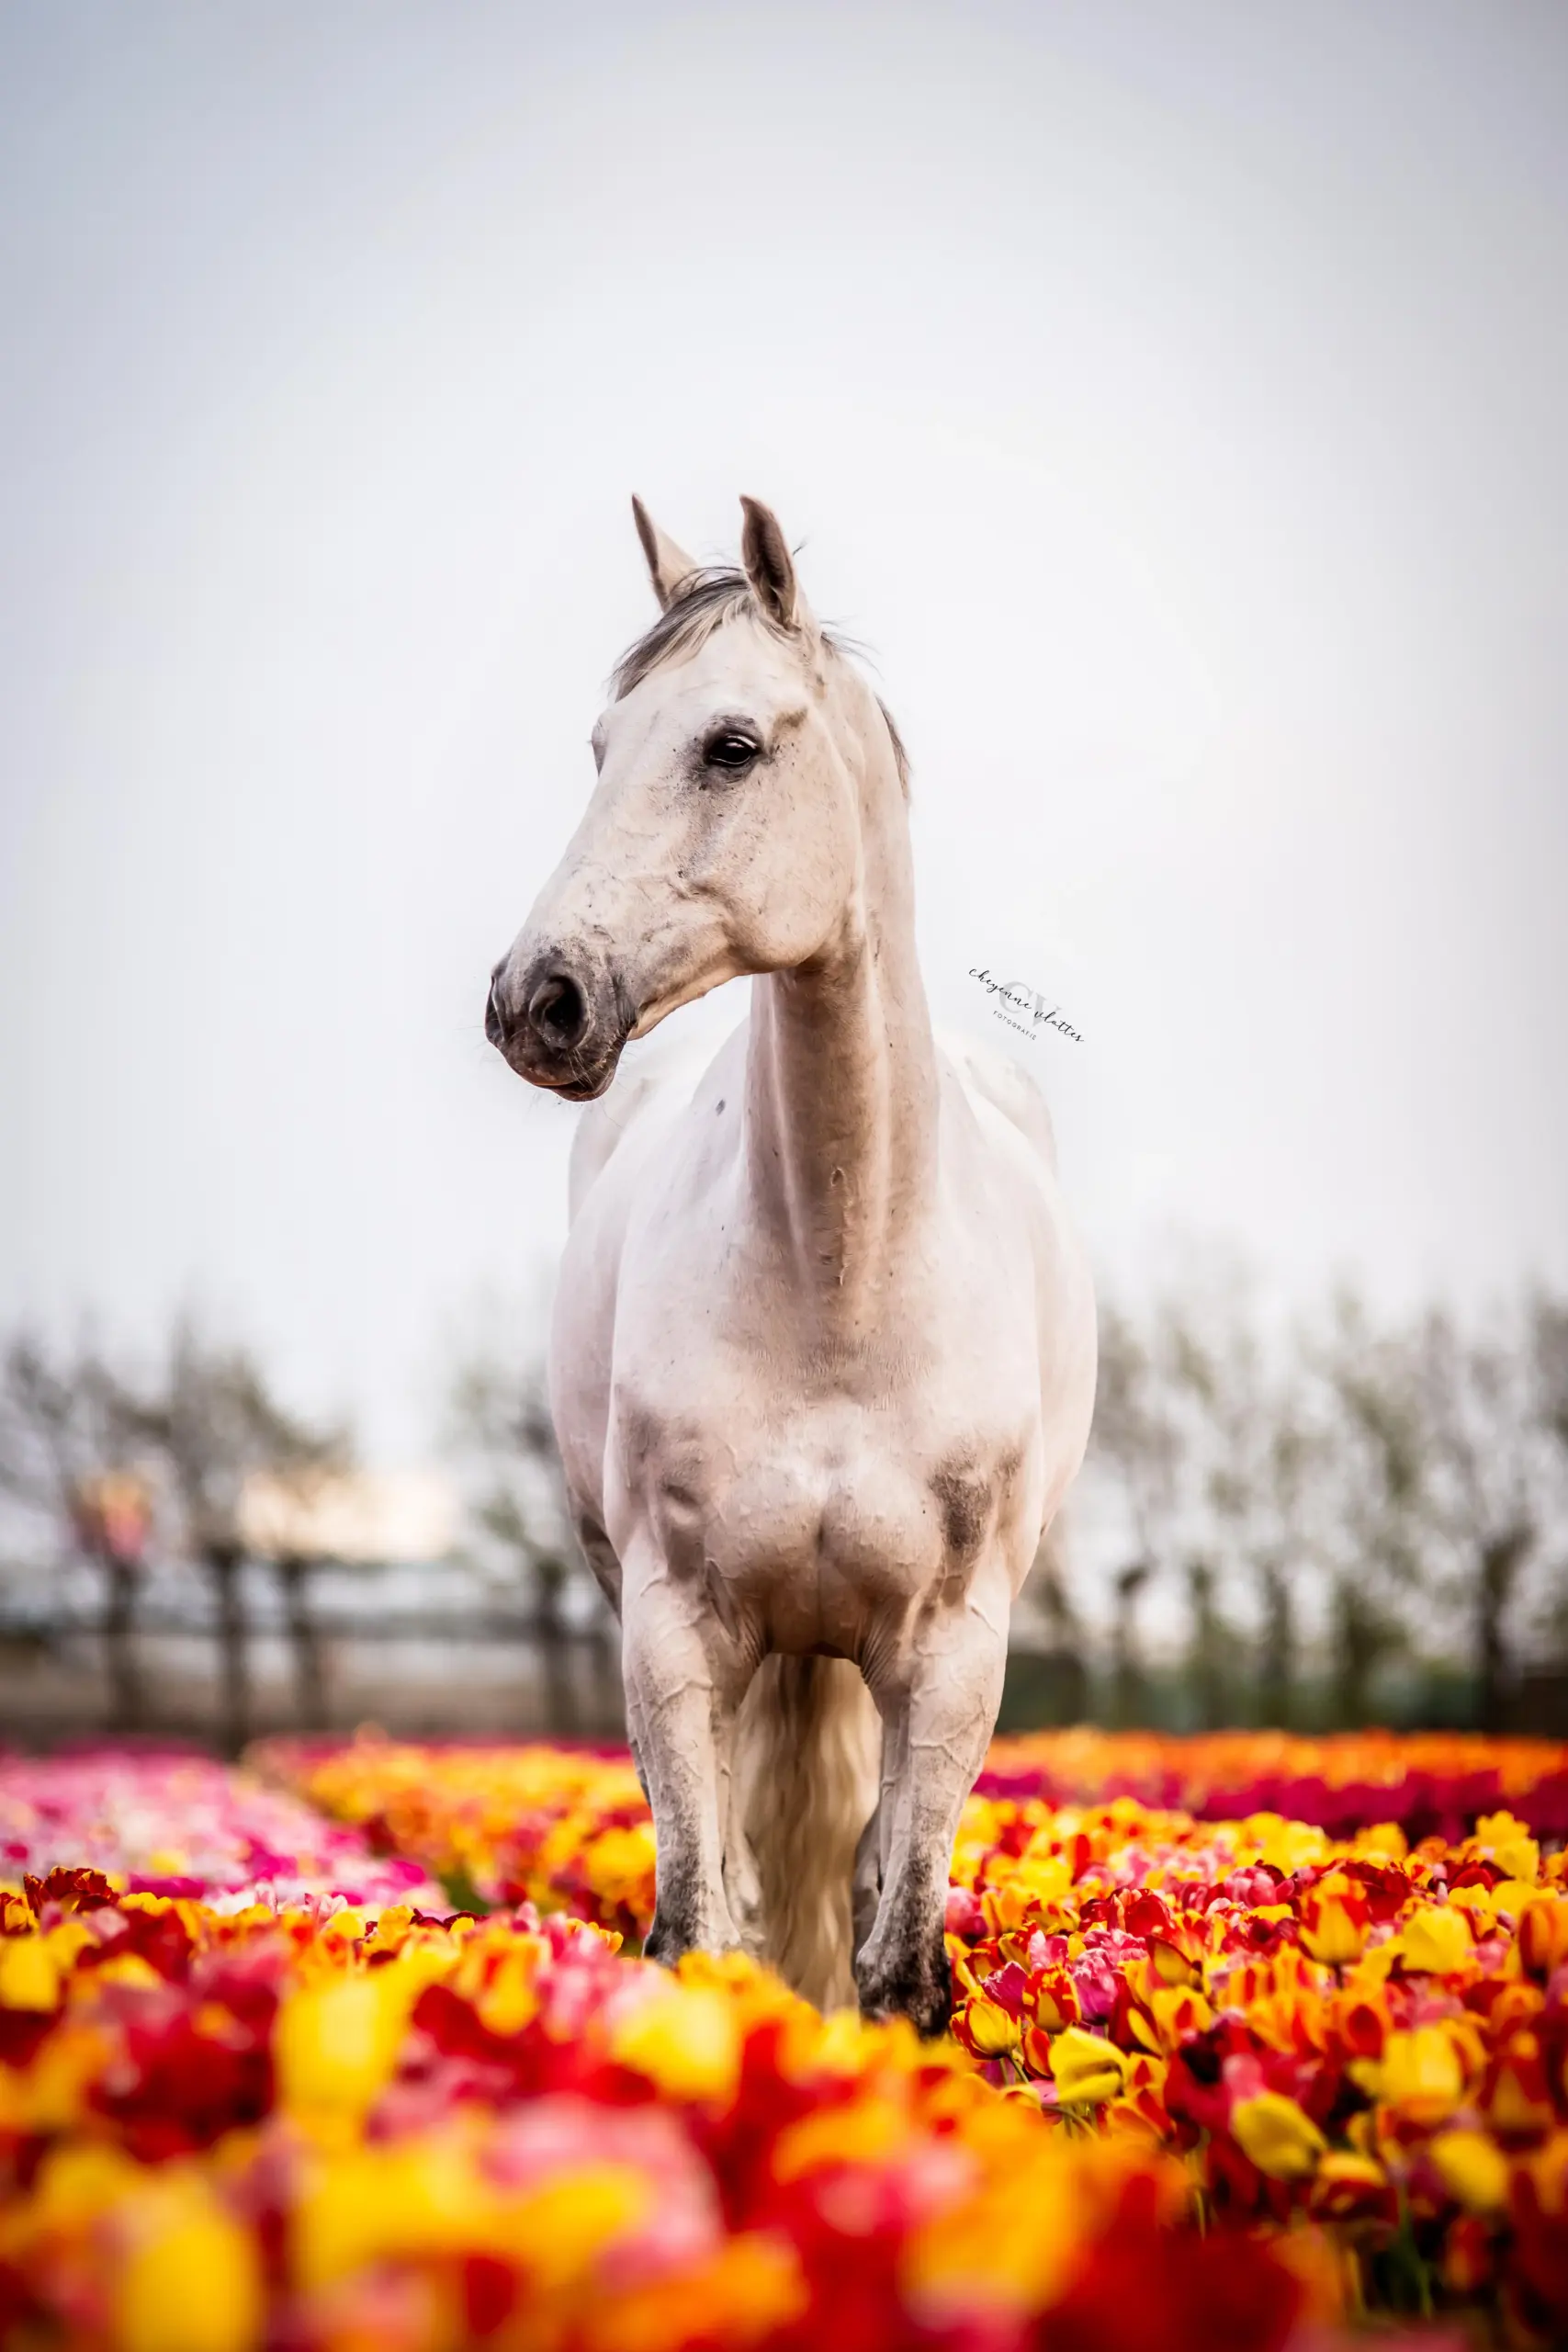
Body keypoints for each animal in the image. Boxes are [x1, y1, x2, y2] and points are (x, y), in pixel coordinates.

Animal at [486, 501, 1090, 2041]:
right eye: (601, 745)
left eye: (730, 745)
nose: (534, 1000)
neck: (842, 1282)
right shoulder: (673, 1633)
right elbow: (701, 1927)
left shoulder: (949, 1656)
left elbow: (899, 1960)